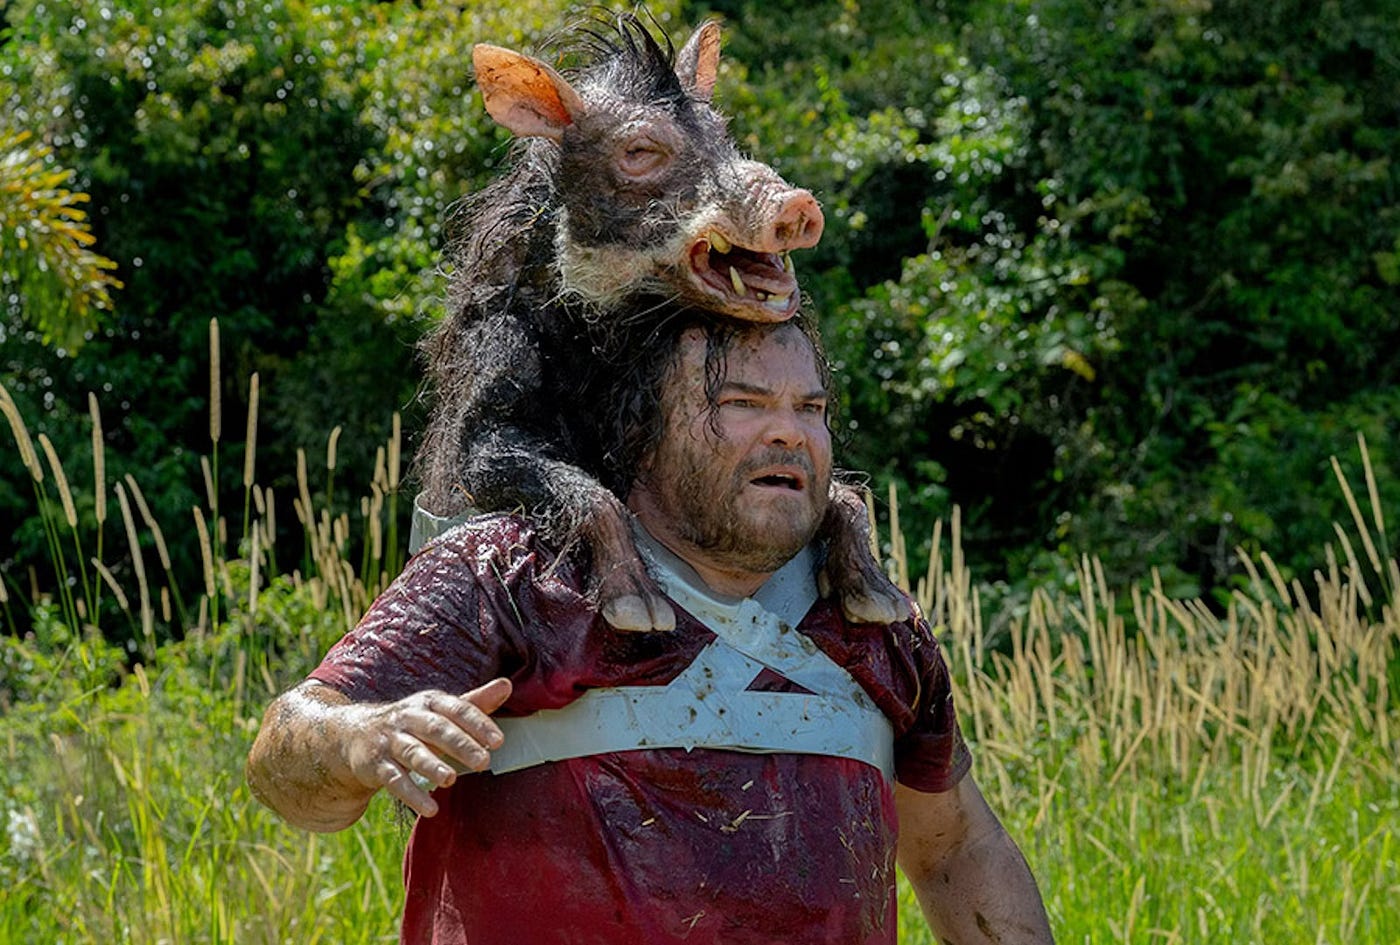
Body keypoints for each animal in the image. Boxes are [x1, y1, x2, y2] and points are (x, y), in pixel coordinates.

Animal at [415, 11, 905, 631]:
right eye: (640, 150)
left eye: (724, 134)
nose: (795, 203)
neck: (603, 345)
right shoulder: (487, 400)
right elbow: (587, 490)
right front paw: (640, 615)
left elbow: (845, 495)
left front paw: (882, 606)